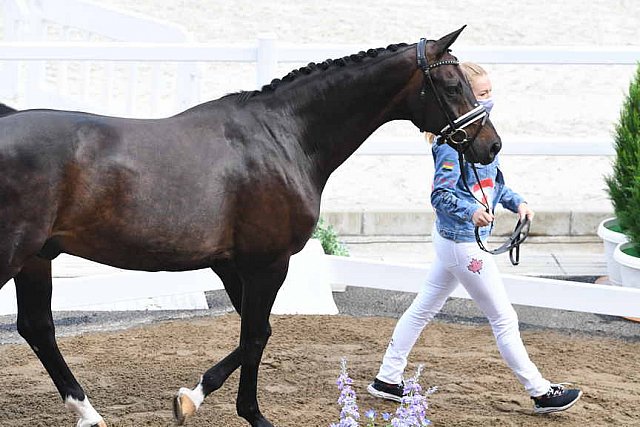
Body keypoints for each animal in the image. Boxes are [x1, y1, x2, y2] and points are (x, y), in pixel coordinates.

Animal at [0, 27, 500, 427]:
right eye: (452, 84)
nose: (490, 145)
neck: (284, 137)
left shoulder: (231, 264)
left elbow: (255, 331)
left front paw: (194, 399)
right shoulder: (268, 263)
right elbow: (257, 333)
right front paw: (244, 412)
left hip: (36, 257)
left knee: (37, 327)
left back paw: (88, 413)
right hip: (15, 254)